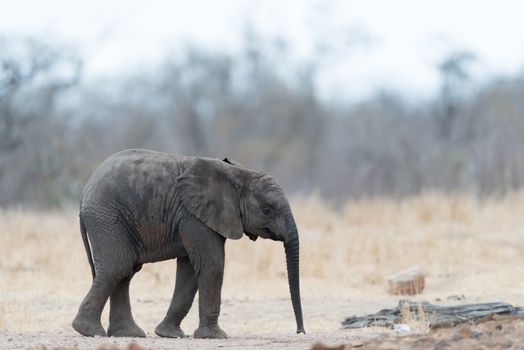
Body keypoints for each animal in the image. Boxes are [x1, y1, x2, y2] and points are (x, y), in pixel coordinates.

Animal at [71, 150, 304, 340]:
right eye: (267, 210)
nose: (300, 331)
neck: (238, 173)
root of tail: (84, 193)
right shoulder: (194, 216)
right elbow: (211, 263)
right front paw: (214, 336)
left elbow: (191, 269)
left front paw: (169, 334)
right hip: (107, 218)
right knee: (118, 267)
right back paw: (88, 331)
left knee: (126, 271)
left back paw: (128, 334)